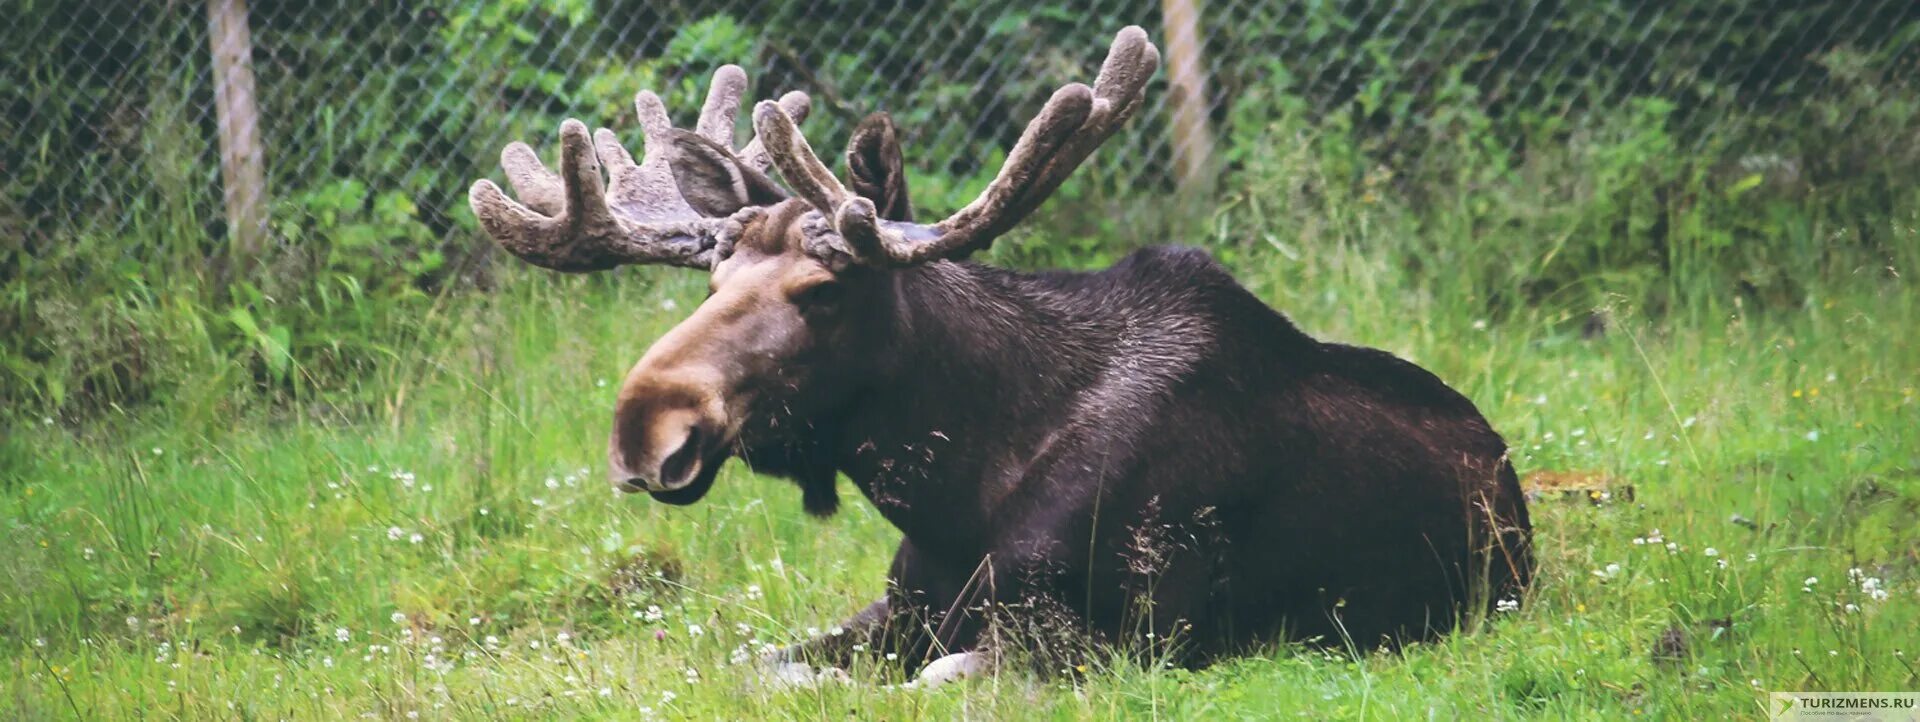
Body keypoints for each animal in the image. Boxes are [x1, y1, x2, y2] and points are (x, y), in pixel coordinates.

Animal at [472, 26, 1536, 683]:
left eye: (821, 292)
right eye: (711, 283)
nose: (643, 428)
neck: (953, 492)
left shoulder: (1134, 640)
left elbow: (932, 682)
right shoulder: (896, 612)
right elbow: (762, 666)